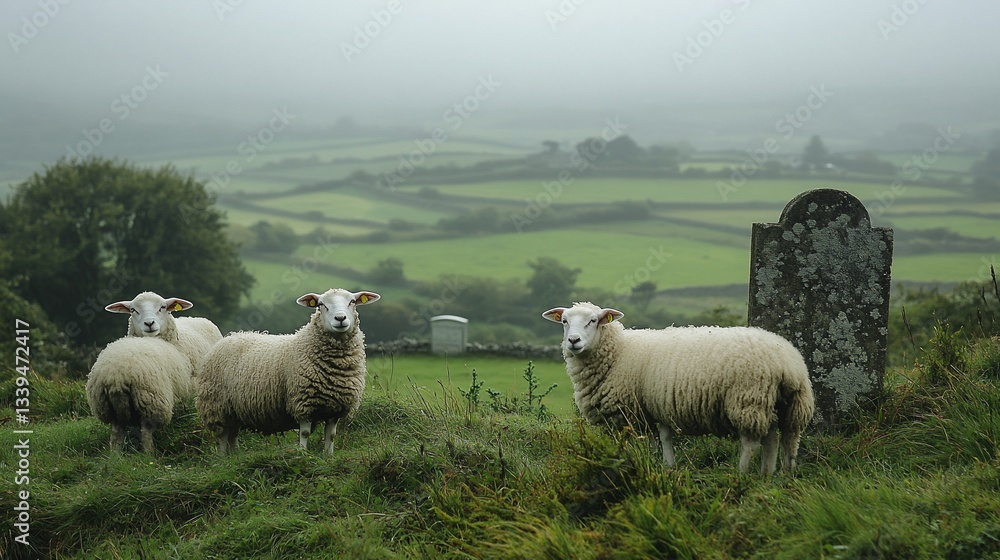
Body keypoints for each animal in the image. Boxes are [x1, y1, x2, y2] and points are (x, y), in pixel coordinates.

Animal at [197, 288, 380, 455]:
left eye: (353, 301)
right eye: (321, 304)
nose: (340, 318)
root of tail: (230, 336)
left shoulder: (336, 406)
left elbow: (331, 435)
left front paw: (328, 455)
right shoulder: (303, 402)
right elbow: (304, 433)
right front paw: (302, 454)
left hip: (235, 408)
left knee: (233, 434)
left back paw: (235, 455)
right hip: (217, 405)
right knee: (222, 435)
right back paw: (223, 457)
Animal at [542, 302, 815, 476]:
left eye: (593, 321)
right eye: (564, 321)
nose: (573, 341)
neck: (620, 351)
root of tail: (788, 364)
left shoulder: (633, 411)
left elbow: (645, 441)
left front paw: (635, 463)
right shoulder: (658, 405)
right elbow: (664, 437)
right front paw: (666, 466)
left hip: (748, 399)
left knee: (752, 442)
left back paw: (743, 473)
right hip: (790, 404)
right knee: (784, 440)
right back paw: (777, 476)